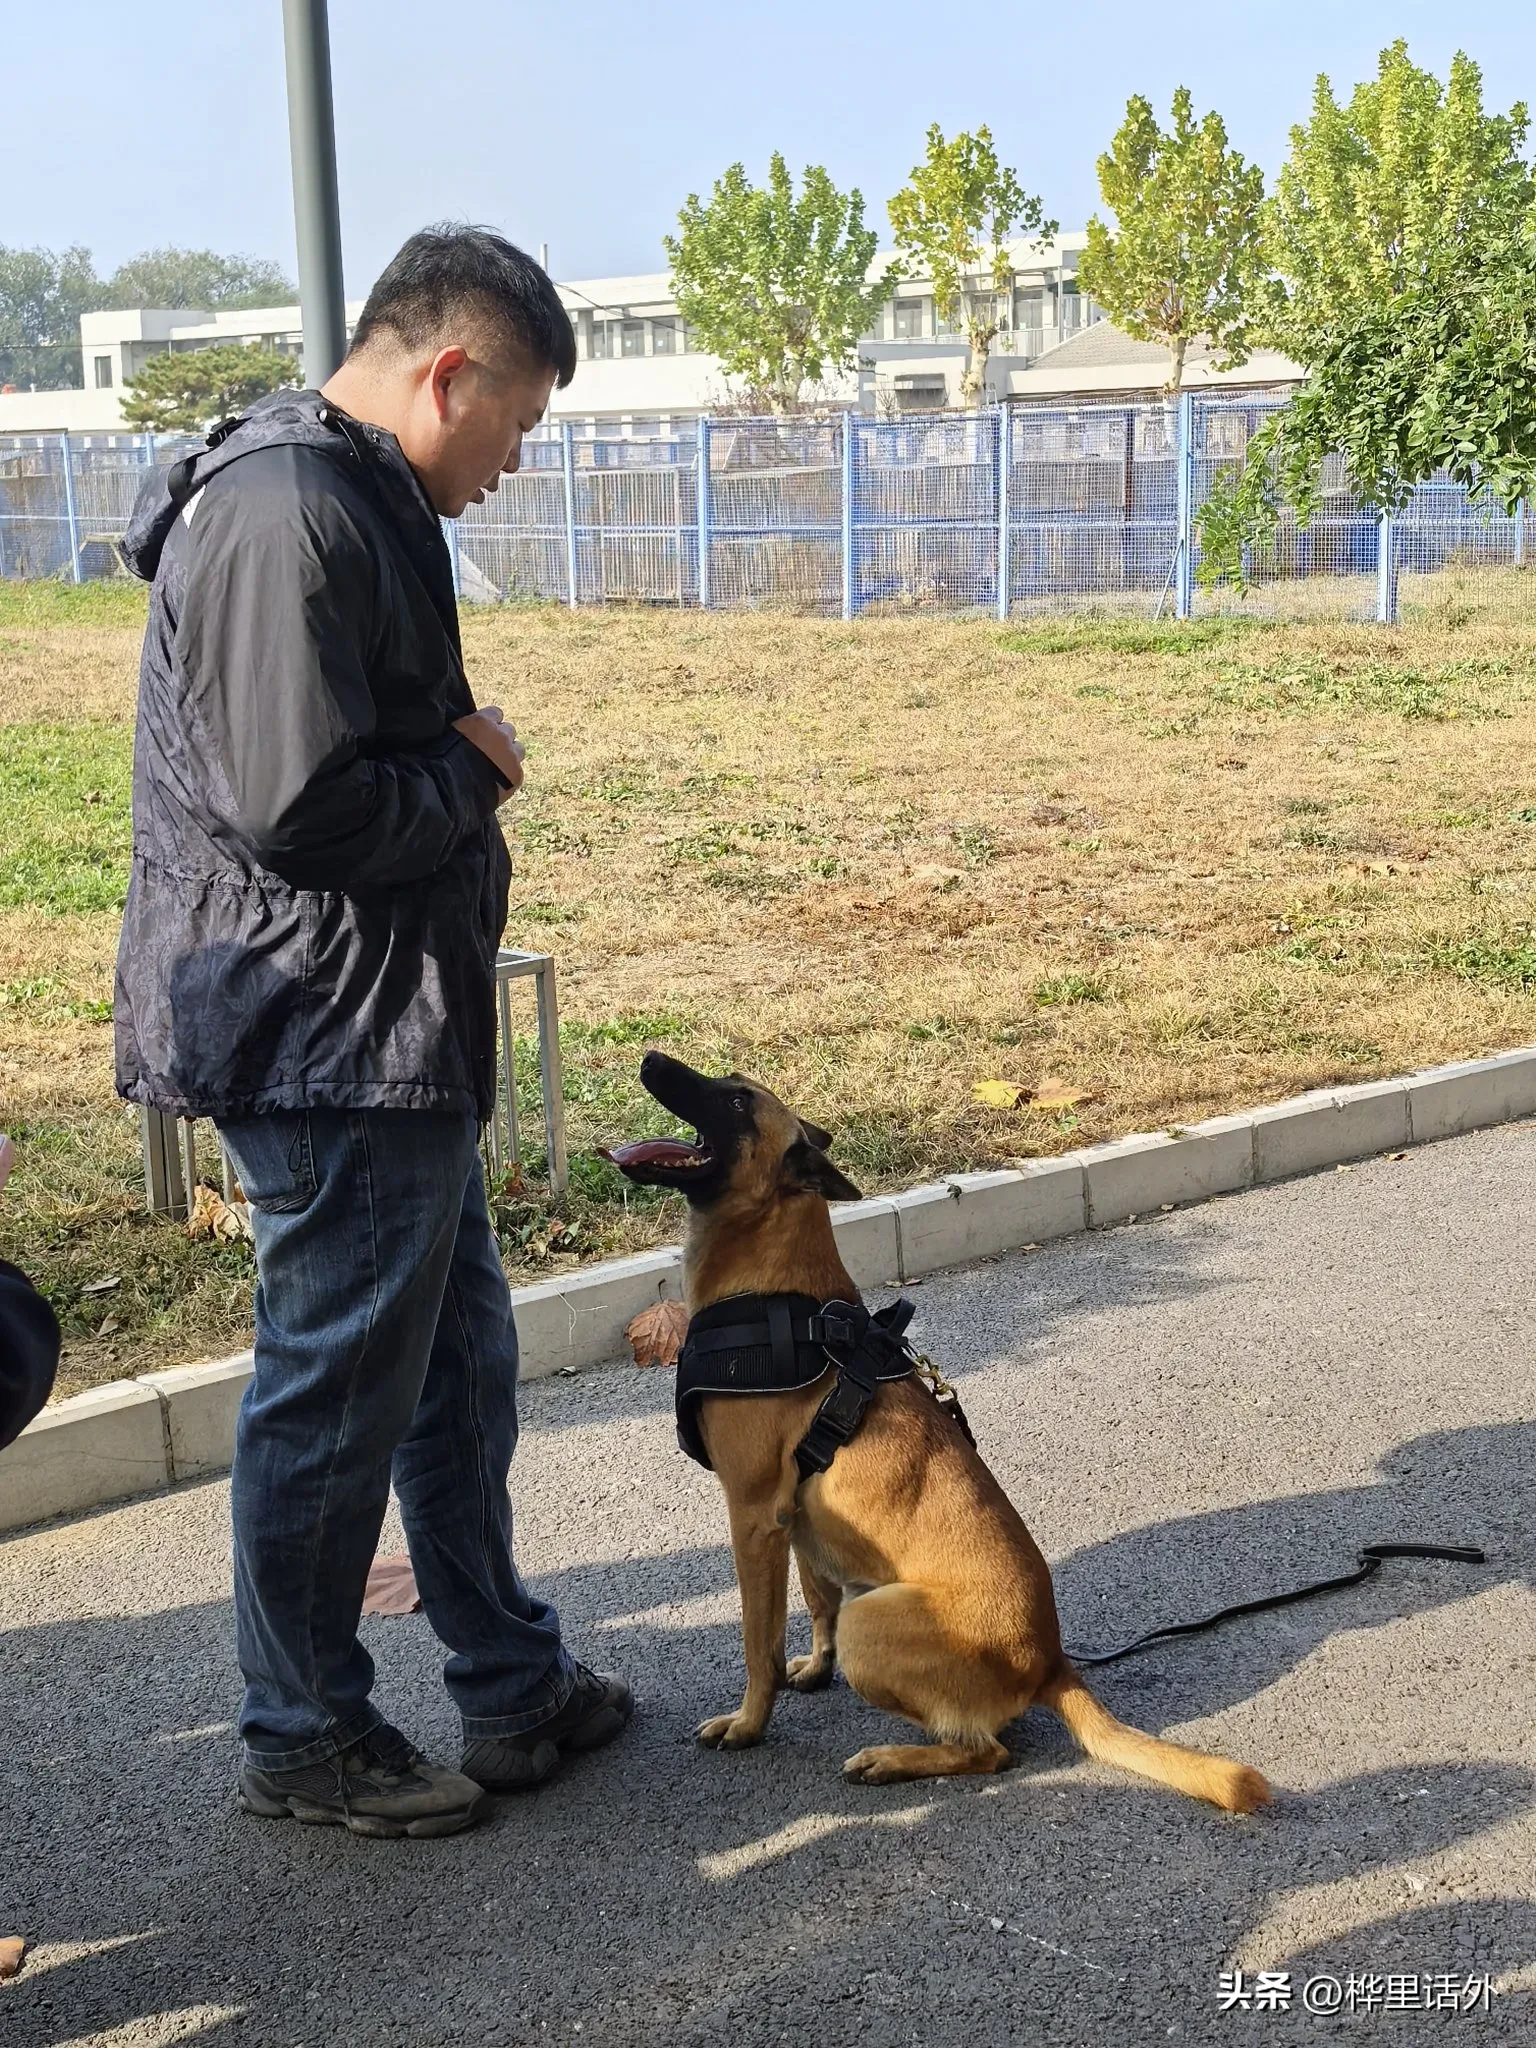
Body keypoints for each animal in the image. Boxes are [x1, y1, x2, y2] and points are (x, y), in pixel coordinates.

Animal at [606, 1056, 1277, 1810]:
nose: (651, 1060)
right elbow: (814, 1598)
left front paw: (751, 1723)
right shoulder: (796, 1521)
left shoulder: (753, 1515)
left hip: (876, 1621)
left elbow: (759, 1643)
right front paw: (813, 1667)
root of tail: (1052, 1662)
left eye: (737, 1101)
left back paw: (894, 1759)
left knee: (989, 1752)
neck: (782, 1292)